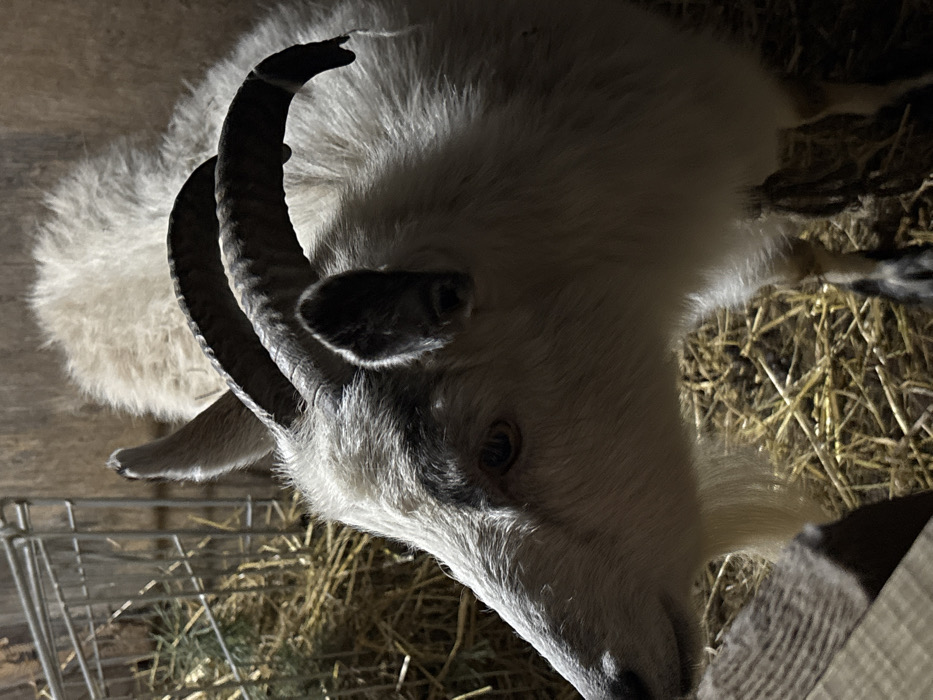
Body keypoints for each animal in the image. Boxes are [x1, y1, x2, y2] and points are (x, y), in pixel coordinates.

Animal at [31, 1, 933, 697]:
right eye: (404, 540)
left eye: (497, 444)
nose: (625, 687)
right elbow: (793, 254)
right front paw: (895, 261)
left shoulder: (715, 105)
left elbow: (815, 111)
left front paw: (906, 108)